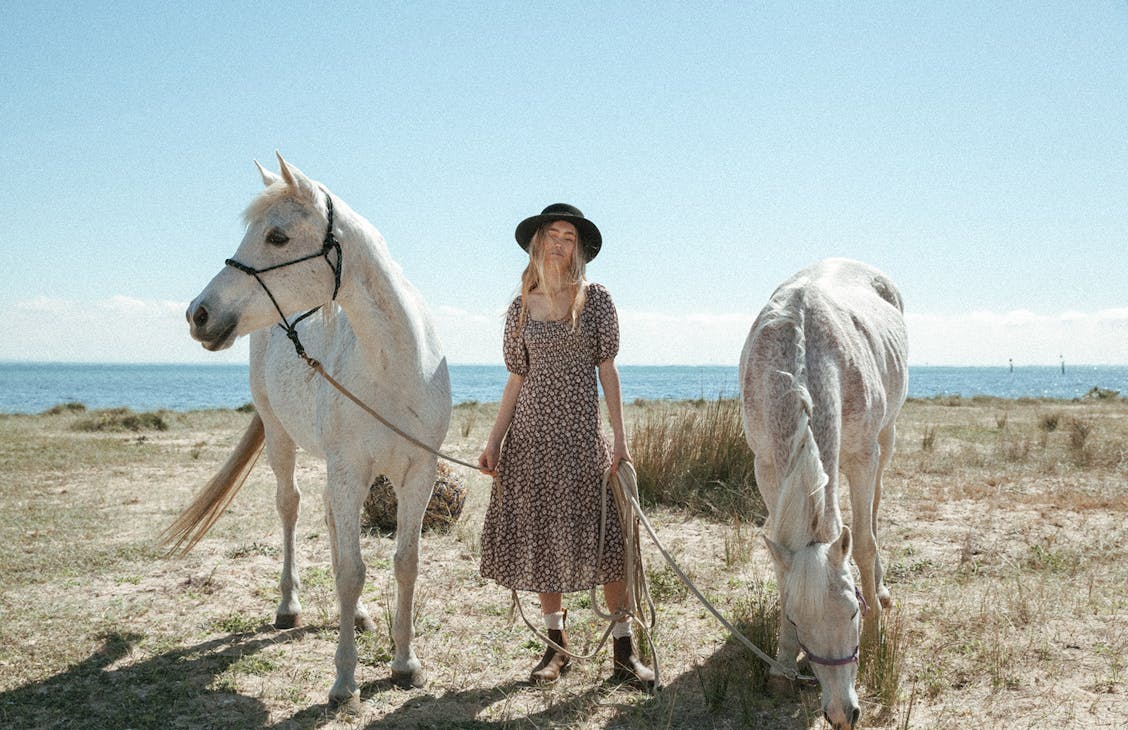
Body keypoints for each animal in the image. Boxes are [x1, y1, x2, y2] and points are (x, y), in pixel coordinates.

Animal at [164, 154, 453, 708]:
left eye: (277, 237)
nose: (197, 314)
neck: (395, 367)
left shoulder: (417, 473)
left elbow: (405, 562)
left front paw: (406, 664)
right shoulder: (348, 470)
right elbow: (350, 572)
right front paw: (344, 682)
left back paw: (356, 618)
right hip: (281, 438)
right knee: (292, 507)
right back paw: (288, 608)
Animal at [739, 258, 906, 730]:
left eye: (852, 611)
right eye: (797, 621)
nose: (841, 713)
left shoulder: (864, 455)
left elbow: (863, 544)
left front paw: (875, 636)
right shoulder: (766, 468)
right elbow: (783, 569)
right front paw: (781, 666)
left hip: (884, 440)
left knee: (874, 511)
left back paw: (881, 591)